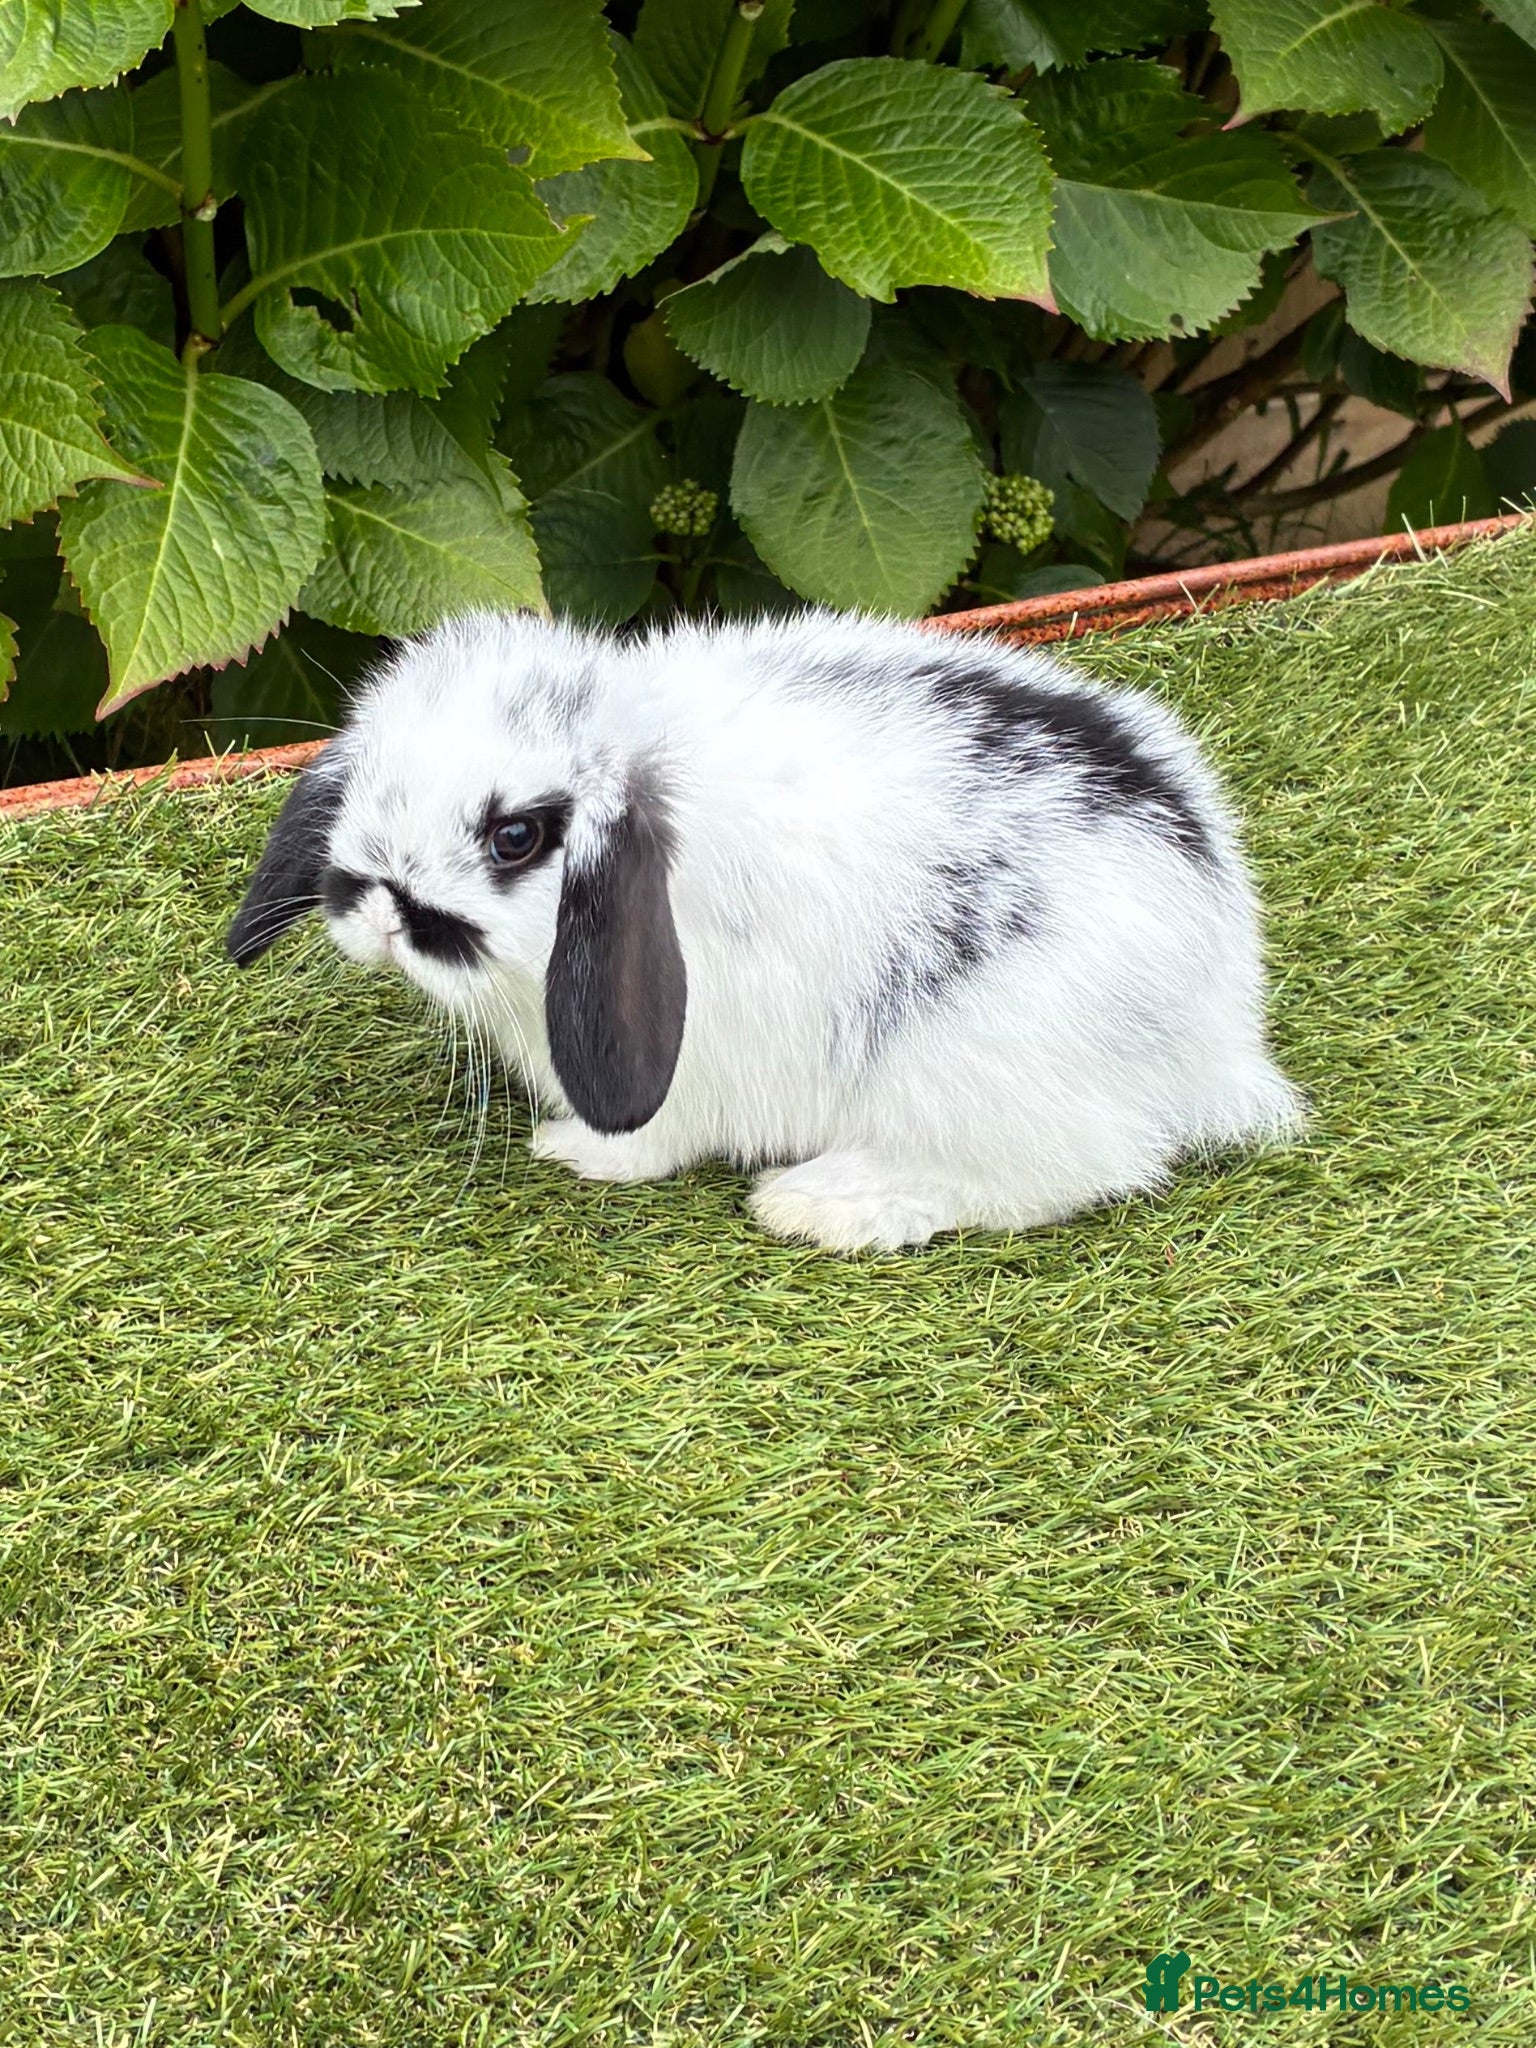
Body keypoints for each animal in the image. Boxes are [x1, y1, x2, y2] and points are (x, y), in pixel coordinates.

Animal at [226, 607, 1303, 1251]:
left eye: (516, 835)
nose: (375, 911)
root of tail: (1219, 1032)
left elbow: (655, 1139)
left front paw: (572, 1150)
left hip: (972, 1068)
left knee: (1062, 1174)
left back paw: (818, 1203)